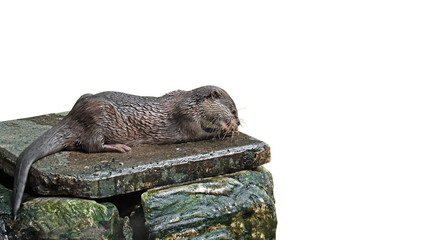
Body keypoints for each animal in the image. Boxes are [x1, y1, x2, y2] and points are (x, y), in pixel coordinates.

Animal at [11, 85, 240, 218]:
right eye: (233, 110)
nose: (237, 121)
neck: (189, 103)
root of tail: (73, 115)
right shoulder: (188, 119)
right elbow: (202, 133)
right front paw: (227, 130)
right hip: (100, 115)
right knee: (90, 145)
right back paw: (119, 147)